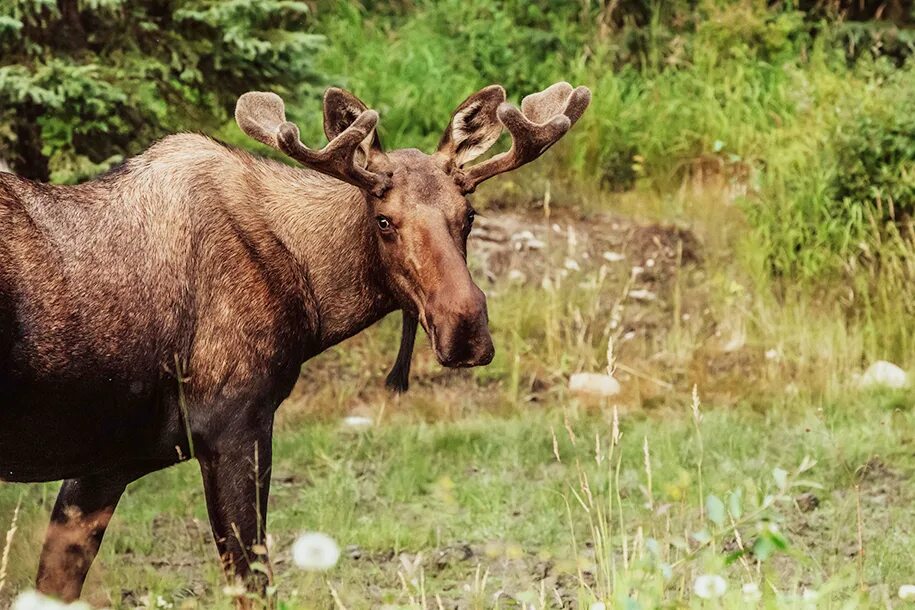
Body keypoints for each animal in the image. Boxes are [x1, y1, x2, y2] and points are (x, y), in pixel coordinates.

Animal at [0, 82, 592, 604]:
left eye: (469, 216)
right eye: (384, 221)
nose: (466, 329)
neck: (311, 302)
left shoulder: (105, 464)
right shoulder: (234, 427)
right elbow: (254, 586)